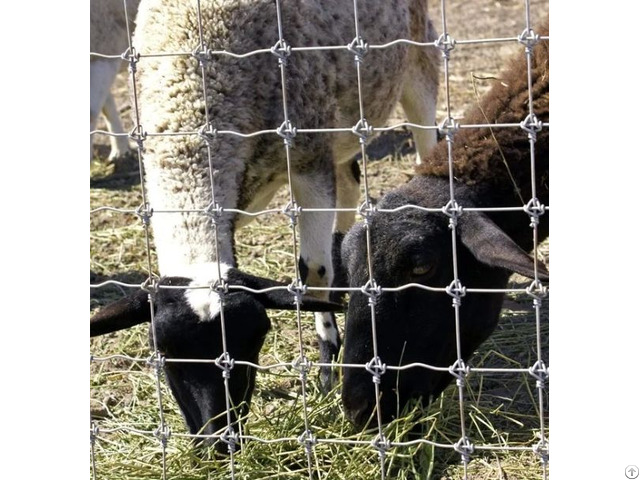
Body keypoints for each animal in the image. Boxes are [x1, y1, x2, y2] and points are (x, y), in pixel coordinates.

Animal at [89, 0, 440, 450]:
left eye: (253, 342)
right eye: (164, 352)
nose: (220, 442)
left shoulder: (308, 158)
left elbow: (313, 273)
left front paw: (326, 375)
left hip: (417, 61)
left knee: (428, 143)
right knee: (348, 183)